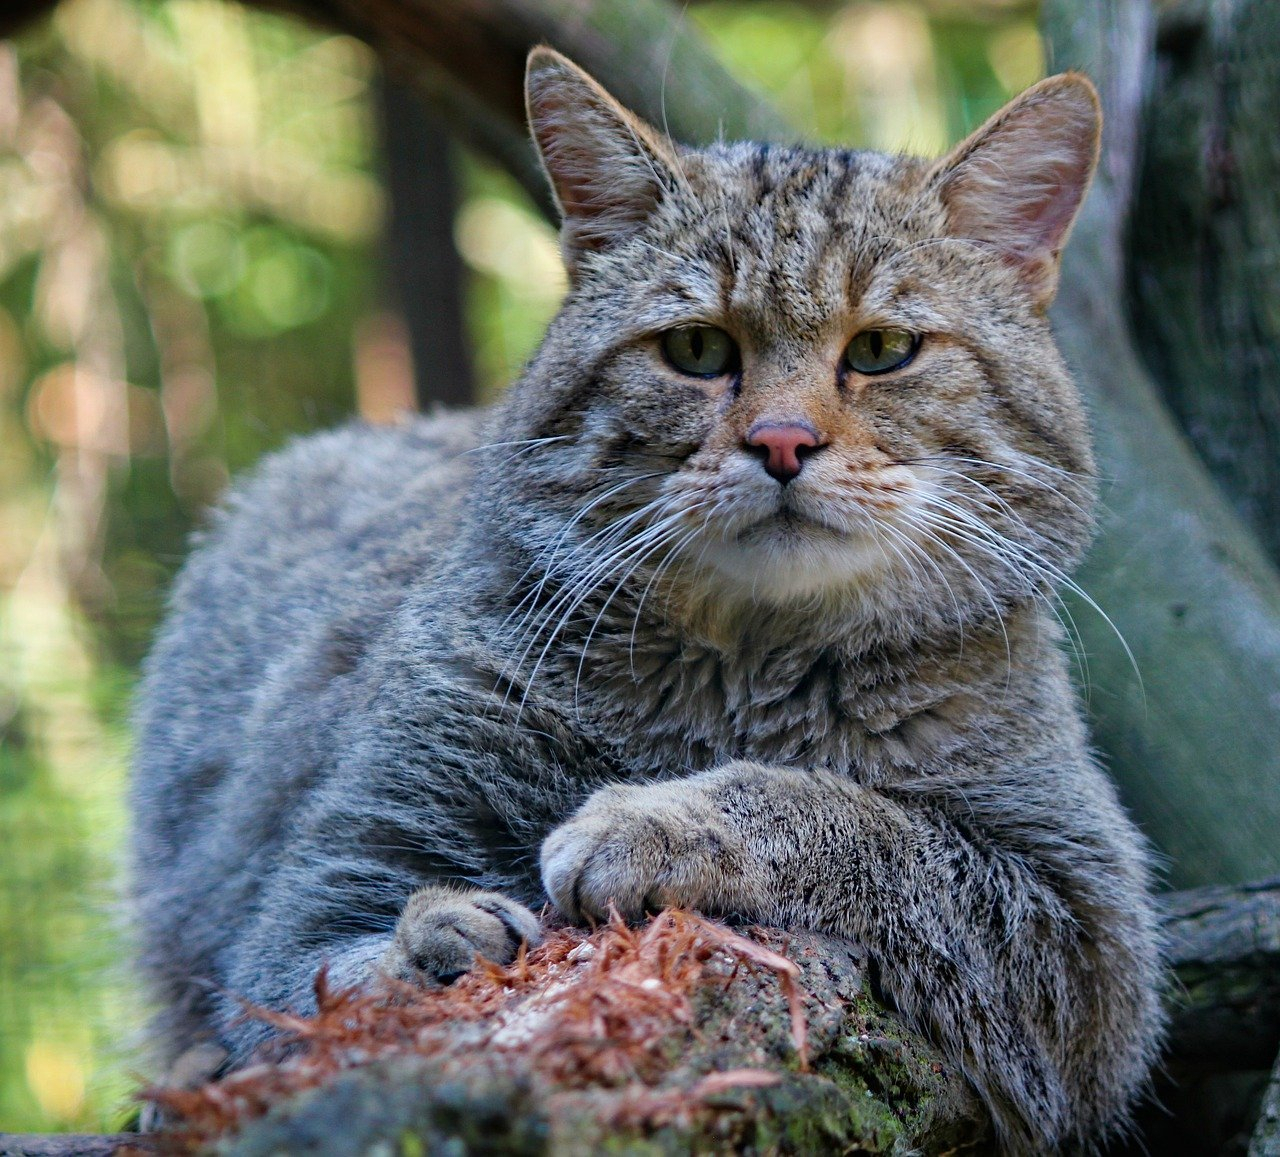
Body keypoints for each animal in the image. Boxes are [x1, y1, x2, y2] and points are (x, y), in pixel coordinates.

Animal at [129, 45, 1162, 1146]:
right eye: (698, 350)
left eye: (882, 350)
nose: (783, 440)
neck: (750, 666)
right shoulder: (316, 896)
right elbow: (322, 985)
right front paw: (433, 935)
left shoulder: (1086, 933)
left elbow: (856, 816)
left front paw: (655, 819)